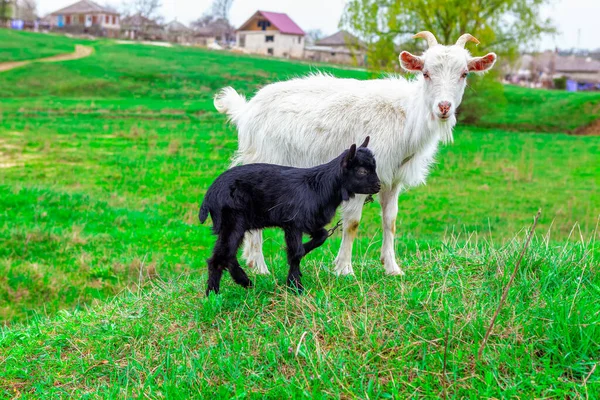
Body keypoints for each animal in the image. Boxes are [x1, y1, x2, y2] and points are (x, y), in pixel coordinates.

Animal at [213, 31, 494, 276]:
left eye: (464, 73)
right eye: (425, 73)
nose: (444, 107)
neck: (404, 115)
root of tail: (246, 110)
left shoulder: (392, 179)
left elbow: (390, 220)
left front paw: (392, 268)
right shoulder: (358, 176)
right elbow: (353, 222)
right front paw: (345, 269)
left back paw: (253, 262)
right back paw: (260, 266)